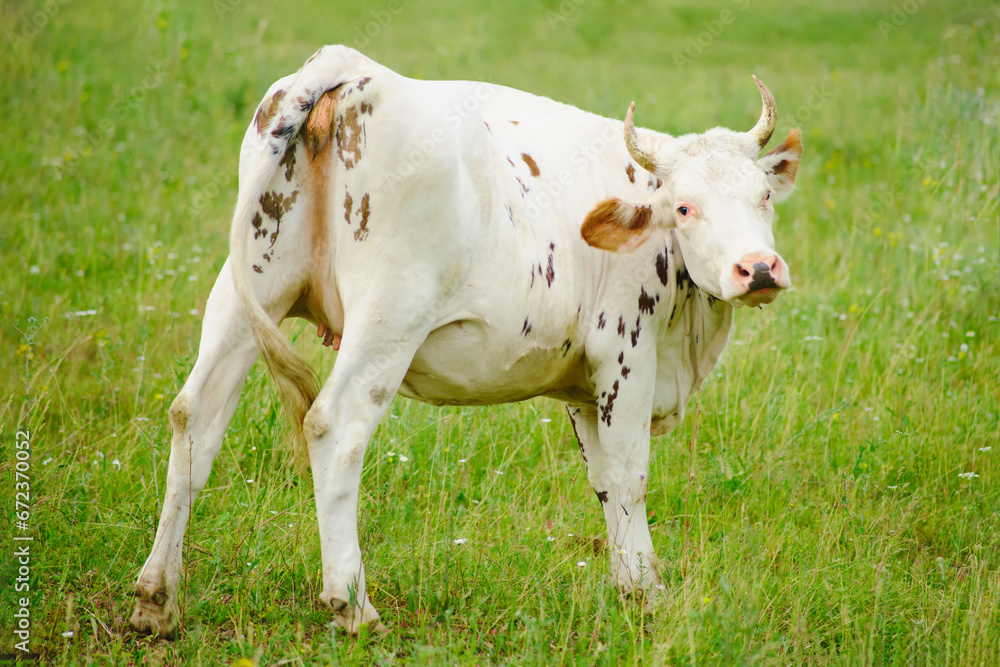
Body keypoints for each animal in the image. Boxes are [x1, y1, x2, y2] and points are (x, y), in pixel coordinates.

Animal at [131, 44, 804, 640]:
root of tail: (351, 68)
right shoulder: (624, 355)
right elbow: (630, 476)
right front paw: (647, 591)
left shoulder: (583, 388)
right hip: (387, 318)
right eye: (684, 207)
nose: (759, 269)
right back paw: (353, 605)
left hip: (247, 293)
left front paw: (629, 586)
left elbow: (605, 482)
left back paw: (157, 599)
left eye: (763, 196)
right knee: (333, 426)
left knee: (195, 416)